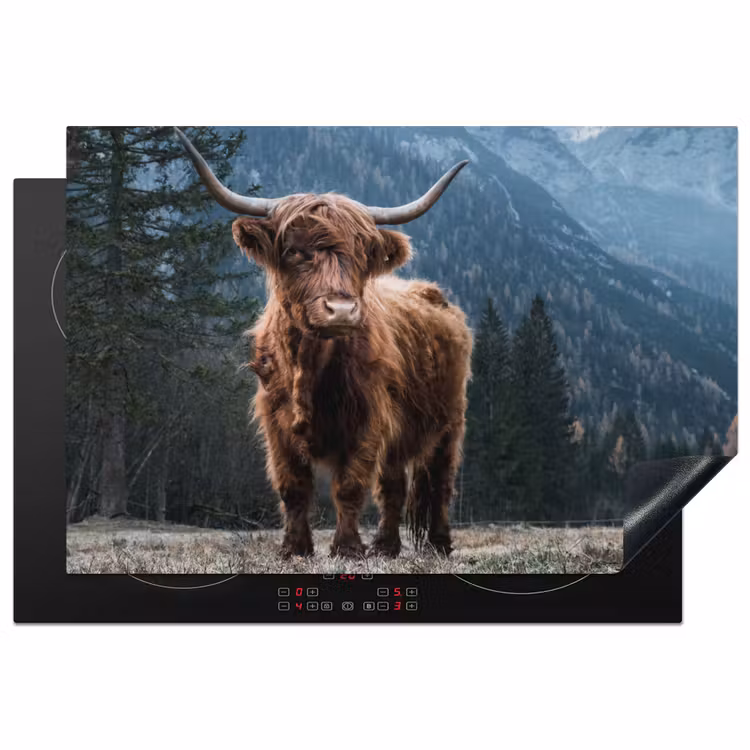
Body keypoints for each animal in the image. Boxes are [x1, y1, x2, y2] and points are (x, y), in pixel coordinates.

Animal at [175, 128, 472, 559]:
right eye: (294, 251)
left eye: (362, 255)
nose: (342, 310)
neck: (309, 365)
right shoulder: (276, 423)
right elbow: (293, 487)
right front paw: (294, 548)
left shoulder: (367, 420)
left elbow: (349, 487)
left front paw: (346, 548)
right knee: (394, 486)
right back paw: (386, 546)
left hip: (450, 421)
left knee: (440, 482)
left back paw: (439, 544)